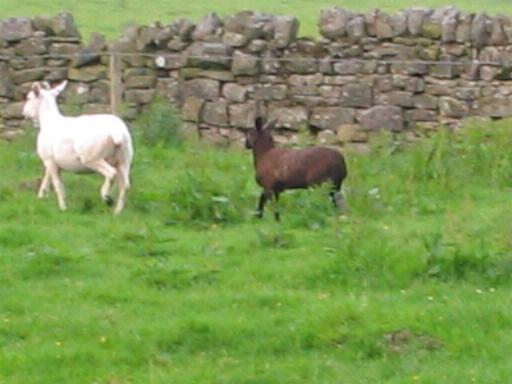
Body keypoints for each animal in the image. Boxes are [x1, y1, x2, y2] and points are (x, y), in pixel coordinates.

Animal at [22, 81, 134, 214]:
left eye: (29, 98)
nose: (23, 113)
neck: (49, 121)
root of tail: (117, 132)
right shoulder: (53, 162)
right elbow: (47, 178)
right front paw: (42, 196)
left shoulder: (49, 160)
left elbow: (57, 185)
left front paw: (63, 208)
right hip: (124, 159)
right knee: (125, 185)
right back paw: (117, 212)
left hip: (92, 157)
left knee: (111, 173)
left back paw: (107, 197)